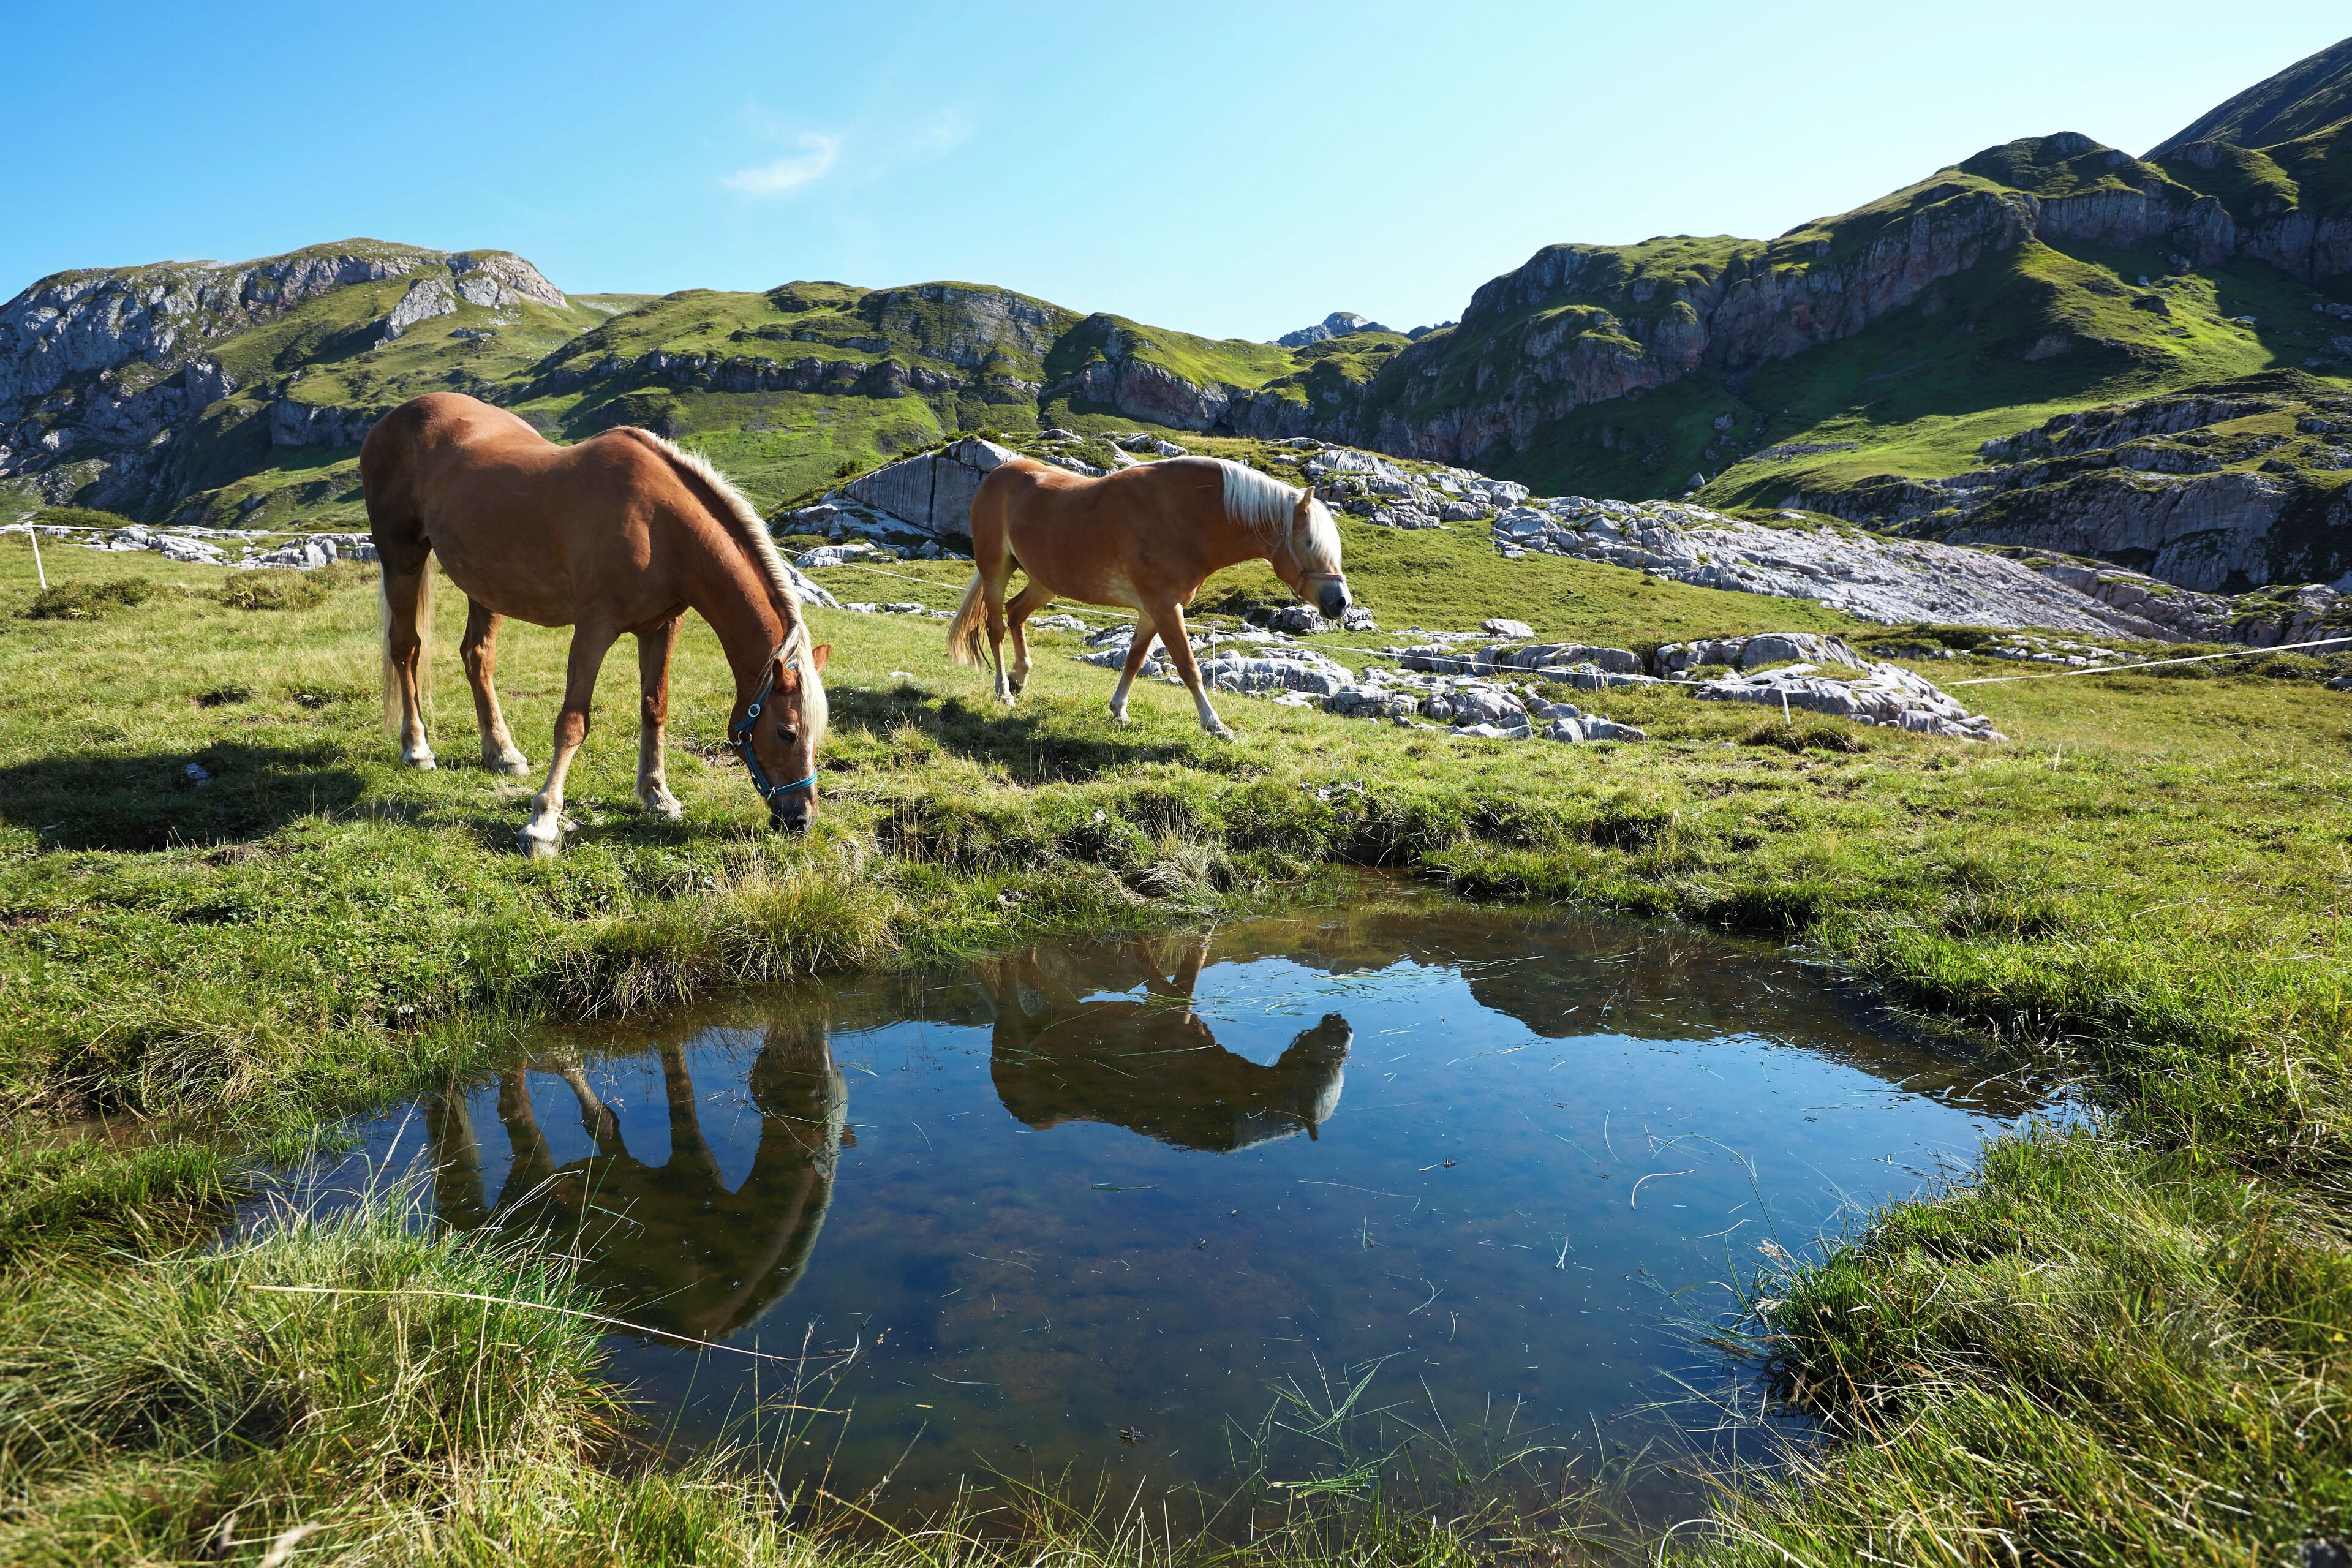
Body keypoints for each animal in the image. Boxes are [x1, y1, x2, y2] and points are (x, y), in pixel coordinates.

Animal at [361, 393, 830, 857]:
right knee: (406, 648)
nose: (801, 820)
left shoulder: (662, 627)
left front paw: (657, 795)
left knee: (477, 657)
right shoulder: (594, 629)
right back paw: (417, 747)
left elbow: (655, 707)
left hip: (484, 585)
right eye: (787, 732)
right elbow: (573, 723)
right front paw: (542, 822)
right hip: (402, 559)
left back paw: (503, 753)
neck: (660, 527)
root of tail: (396, 417)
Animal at [945, 455, 1351, 738]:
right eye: (1309, 541)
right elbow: (1189, 667)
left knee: (1015, 614)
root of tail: (998, 475)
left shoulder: (1153, 610)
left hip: (1045, 581)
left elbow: (1135, 660)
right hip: (996, 571)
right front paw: (1215, 725)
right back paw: (1004, 691)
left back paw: (1020, 677)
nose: (1341, 602)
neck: (1183, 516)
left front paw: (1119, 711)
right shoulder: (1165, 606)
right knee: (996, 627)